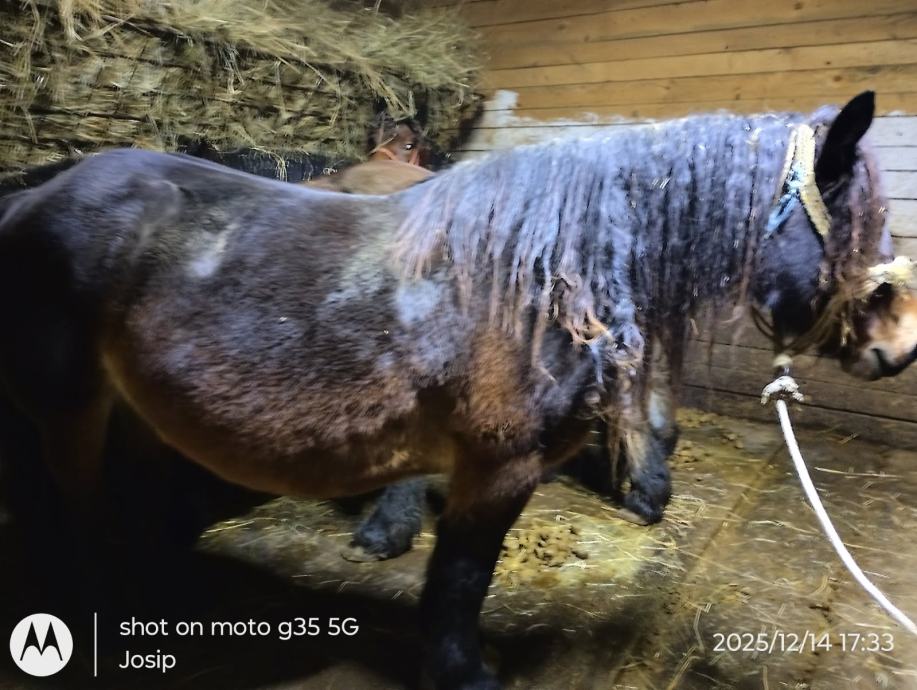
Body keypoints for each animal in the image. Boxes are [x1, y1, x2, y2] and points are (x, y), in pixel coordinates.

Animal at [0, 92, 914, 690]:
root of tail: (36, 193)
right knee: (64, 509)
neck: (541, 279)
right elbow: (460, 579)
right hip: (66, 409)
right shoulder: (497, 468)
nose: (898, 345)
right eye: (862, 221)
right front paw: (461, 672)